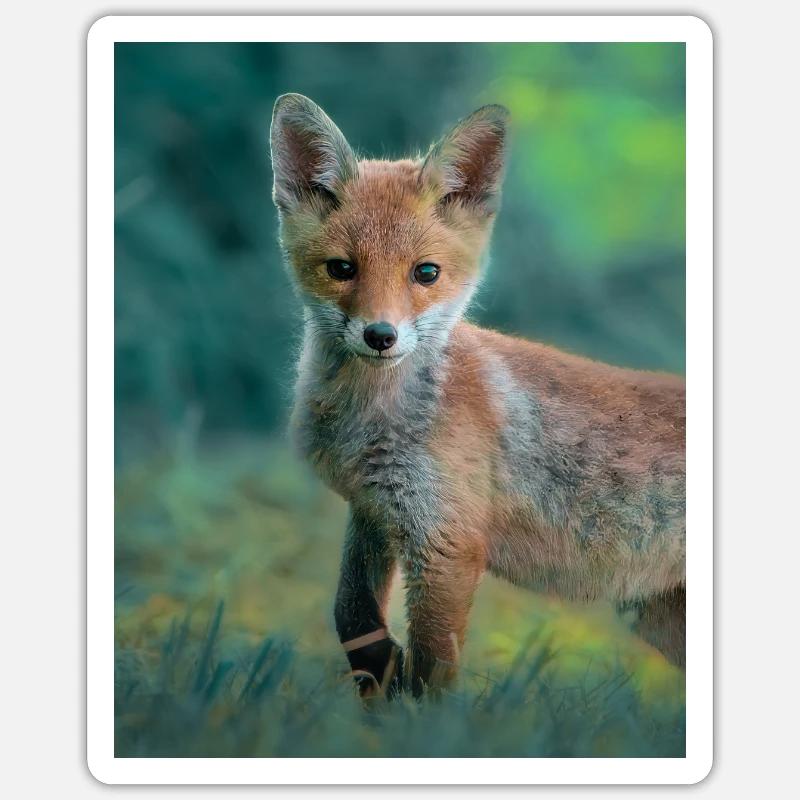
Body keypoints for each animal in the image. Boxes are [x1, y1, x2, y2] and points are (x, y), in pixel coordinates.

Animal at [269, 93, 686, 698]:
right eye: (341, 269)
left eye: (426, 273)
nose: (380, 335)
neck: (371, 423)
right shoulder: (375, 510)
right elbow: (352, 616)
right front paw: (380, 677)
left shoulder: (449, 541)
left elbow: (432, 671)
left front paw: (417, 716)